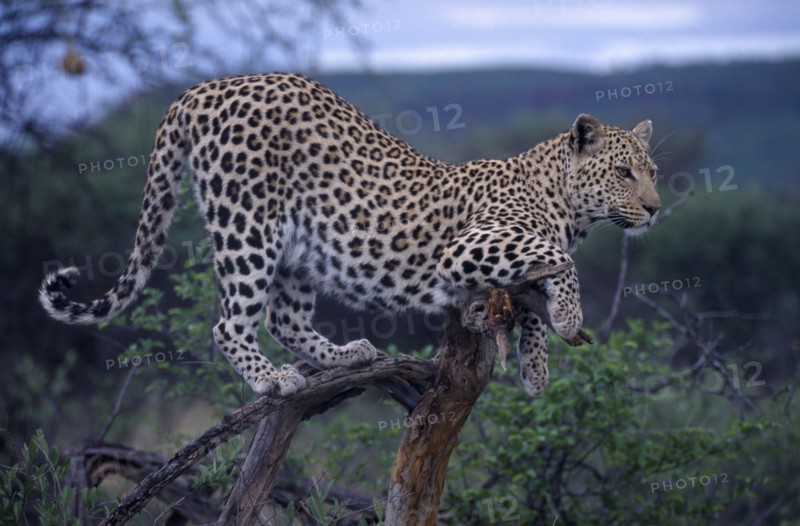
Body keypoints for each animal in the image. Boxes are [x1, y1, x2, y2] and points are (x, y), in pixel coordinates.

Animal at [39, 72, 661, 398]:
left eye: (652, 169)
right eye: (624, 172)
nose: (656, 208)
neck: (569, 207)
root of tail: (203, 88)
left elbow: (530, 297)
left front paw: (535, 368)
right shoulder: (468, 247)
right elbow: (557, 260)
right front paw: (570, 320)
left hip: (296, 245)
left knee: (283, 317)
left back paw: (345, 354)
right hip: (247, 223)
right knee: (230, 322)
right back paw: (272, 379)